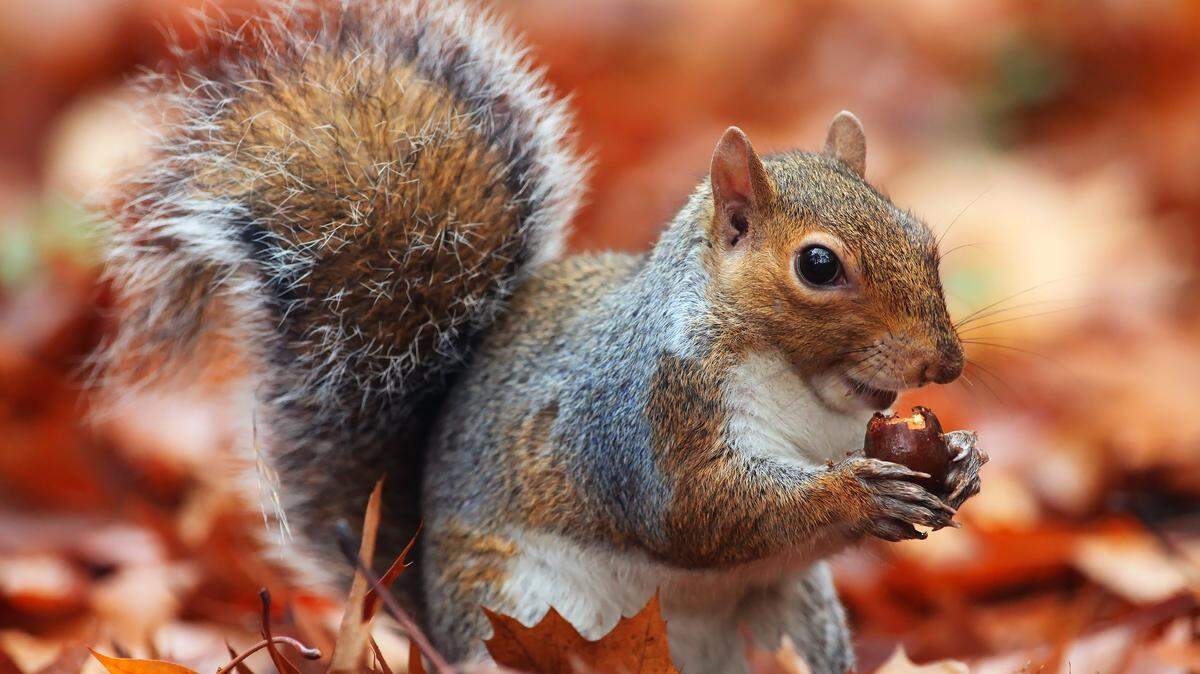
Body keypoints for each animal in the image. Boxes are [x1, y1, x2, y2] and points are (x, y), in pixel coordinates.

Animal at [99, 1, 986, 672]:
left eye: (923, 239)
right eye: (817, 265)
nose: (944, 362)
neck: (806, 393)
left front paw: (961, 462)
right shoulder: (640, 421)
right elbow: (701, 512)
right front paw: (856, 493)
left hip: (793, 622)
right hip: (519, 615)